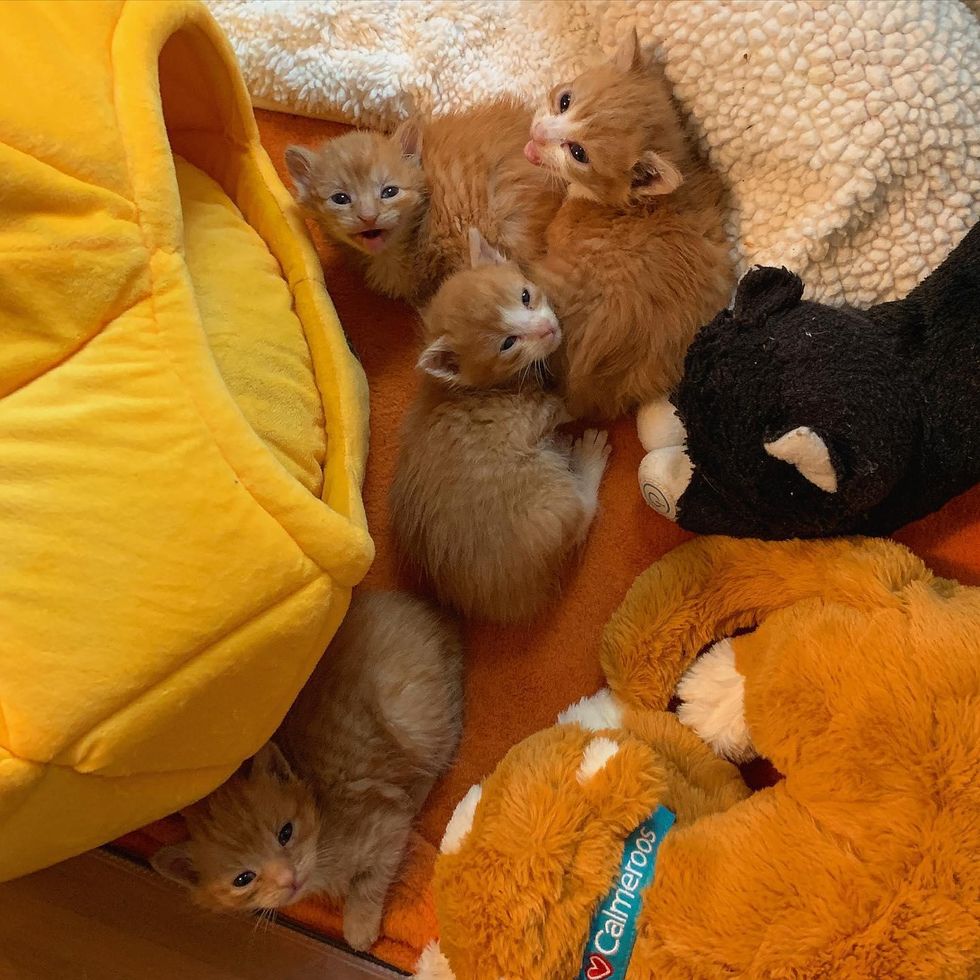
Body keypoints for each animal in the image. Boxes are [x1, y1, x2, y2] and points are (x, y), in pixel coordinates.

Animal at [149, 588, 464, 948]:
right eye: (243, 879)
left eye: (286, 833)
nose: (289, 879)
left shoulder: (386, 826)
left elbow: (370, 881)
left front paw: (359, 925)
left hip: (411, 714)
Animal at [388, 230, 604, 620]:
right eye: (508, 343)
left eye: (525, 296)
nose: (548, 329)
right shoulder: (534, 410)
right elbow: (569, 405)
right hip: (550, 501)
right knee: (580, 515)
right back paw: (588, 456)